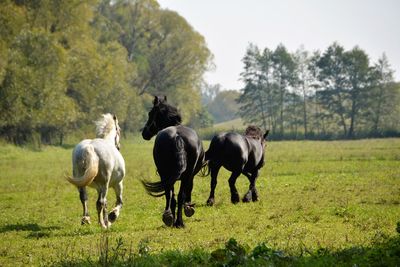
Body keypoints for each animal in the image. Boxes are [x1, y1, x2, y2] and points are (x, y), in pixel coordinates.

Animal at [141, 96, 205, 228]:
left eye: (150, 113)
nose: (144, 133)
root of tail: (177, 136)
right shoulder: (189, 175)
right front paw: (188, 208)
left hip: (167, 175)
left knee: (171, 195)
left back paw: (170, 218)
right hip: (183, 174)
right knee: (179, 196)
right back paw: (178, 222)